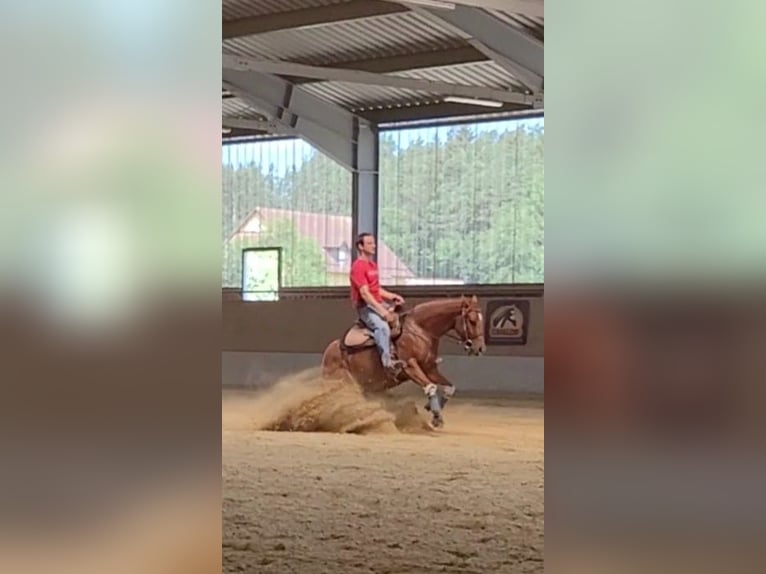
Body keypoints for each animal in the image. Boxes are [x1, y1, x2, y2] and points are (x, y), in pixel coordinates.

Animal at [320, 296, 488, 428]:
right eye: (472, 321)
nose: (480, 348)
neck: (420, 330)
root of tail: (329, 353)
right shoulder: (410, 367)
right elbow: (431, 386)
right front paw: (436, 415)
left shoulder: (430, 369)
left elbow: (449, 388)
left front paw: (433, 409)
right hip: (343, 383)